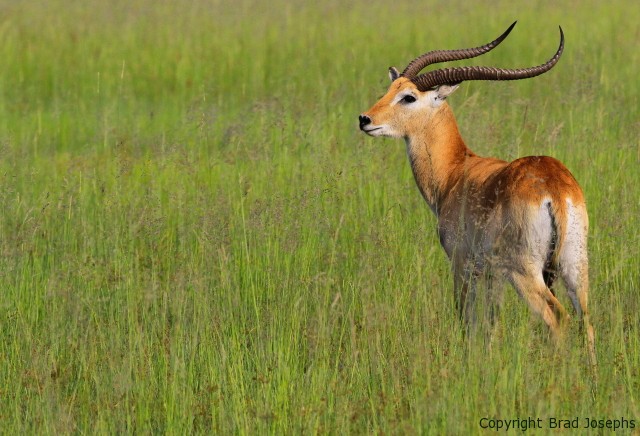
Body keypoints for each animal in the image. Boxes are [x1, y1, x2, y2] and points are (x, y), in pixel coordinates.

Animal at [360, 22, 596, 362]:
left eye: (408, 97)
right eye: (391, 88)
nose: (365, 119)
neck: (456, 171)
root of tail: (553, 185)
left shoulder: (462, 264)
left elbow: (465, 320)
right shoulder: (491, 275)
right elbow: (491, 326)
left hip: (524, 273)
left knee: (558, 318)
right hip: (574, 265)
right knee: (585, 322)